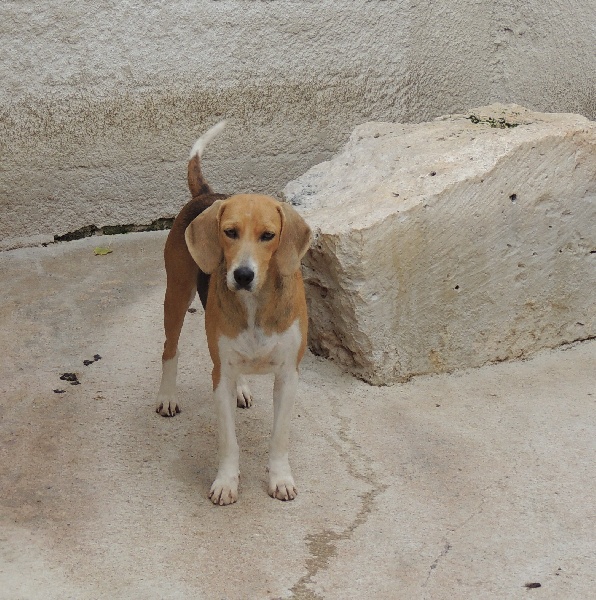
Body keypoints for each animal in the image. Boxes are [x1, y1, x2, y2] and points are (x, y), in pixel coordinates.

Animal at [154, 122, 312, 506]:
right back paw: (167, 396)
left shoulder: (288, 375)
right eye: (230, 232)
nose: (242, 275)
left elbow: (279, 438)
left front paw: (280, 479)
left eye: (268, 235)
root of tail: (206, 195)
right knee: (170, 349)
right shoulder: (219, 377)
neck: (254, 305)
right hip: (175, 297)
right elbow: (229, 442)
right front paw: (226, 482)